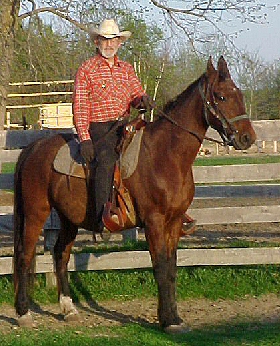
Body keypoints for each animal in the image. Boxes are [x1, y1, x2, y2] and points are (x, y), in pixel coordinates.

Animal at [14, 56, 258, 332]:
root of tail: (34, 148)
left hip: (69, 219)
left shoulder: (174, 223)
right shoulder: (154, 222)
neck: (165, 155)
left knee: (61, 254)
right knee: (24, 255)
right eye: (221, 96)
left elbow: (171, 268)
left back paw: (69, 309)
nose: (247, 137)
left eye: (239, 94)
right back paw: (23, 314)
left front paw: (173, 317)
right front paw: (168, 321)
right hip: (36, 212)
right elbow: (160, 267)